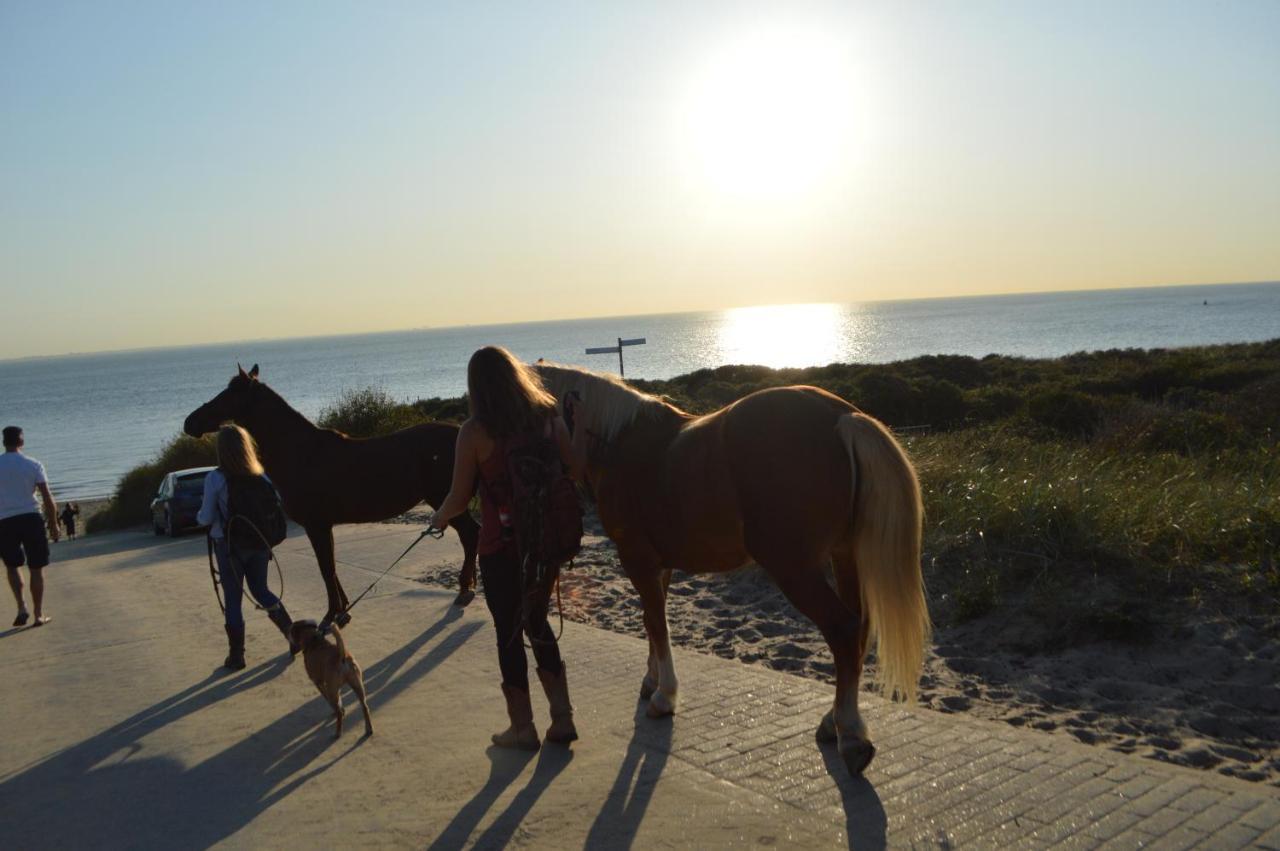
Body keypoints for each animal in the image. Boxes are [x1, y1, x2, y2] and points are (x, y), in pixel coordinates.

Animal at [183, 365, 478, 624]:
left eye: (230, 392)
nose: (190, 422)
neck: (302, 453)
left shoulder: (317, 526)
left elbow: (326, 569)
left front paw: (332, 615)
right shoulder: (323, 526)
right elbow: (331, 568)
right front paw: (342, 609)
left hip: (444, 499)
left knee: (470, 534)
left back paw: (465, 589)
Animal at [532, 360, 931, 772]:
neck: (617, 443)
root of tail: (841, 417)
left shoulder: (637, 558)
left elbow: (658, 624)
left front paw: (665, 696)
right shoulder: (660, 565)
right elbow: (650, 618)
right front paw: (652, 681)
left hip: (795, 568)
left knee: (843, 629)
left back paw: (850, 733)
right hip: (844, 554)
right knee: (859, 627)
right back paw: (832, 721)